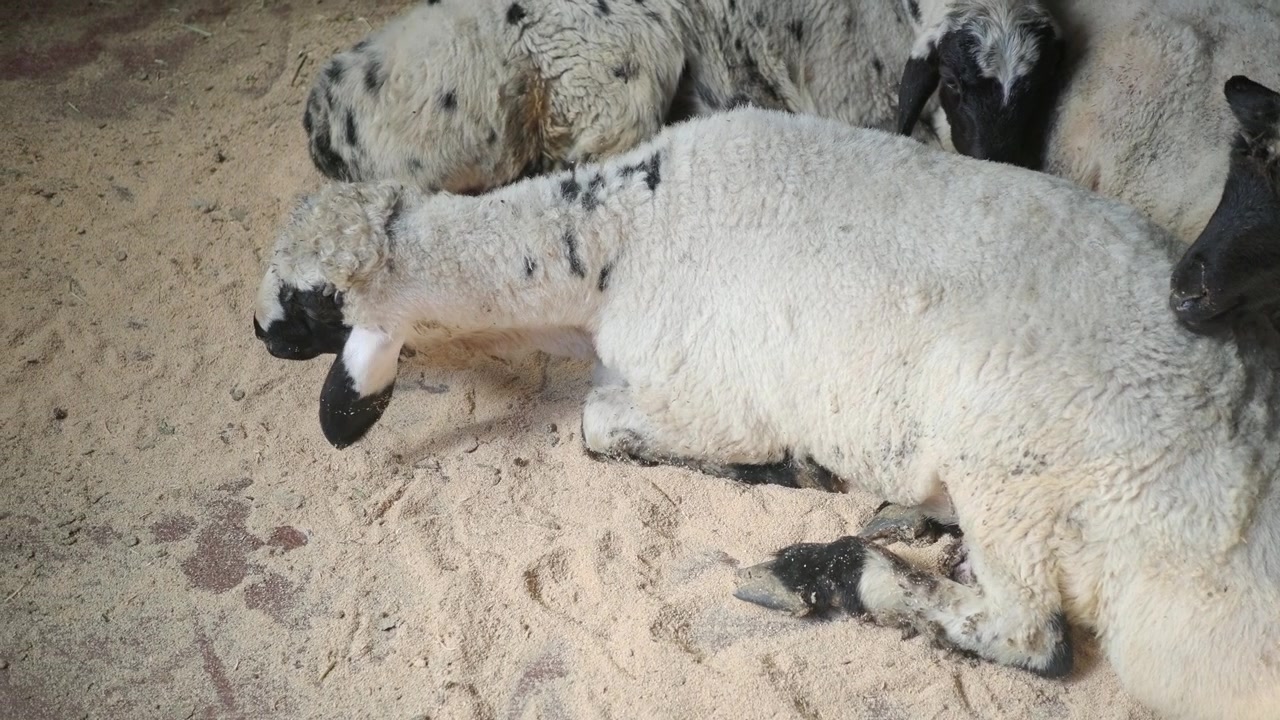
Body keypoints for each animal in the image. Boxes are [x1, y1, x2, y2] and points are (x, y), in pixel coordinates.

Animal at [254, 98, 1280, 718]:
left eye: (310, 303)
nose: (261, 332)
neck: (618, 235)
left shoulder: (709, 391)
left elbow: (598, 425)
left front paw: (786, 468)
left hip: (1016, 459)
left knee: (1031, 633)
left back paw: (829, 572)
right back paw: (910, 519)